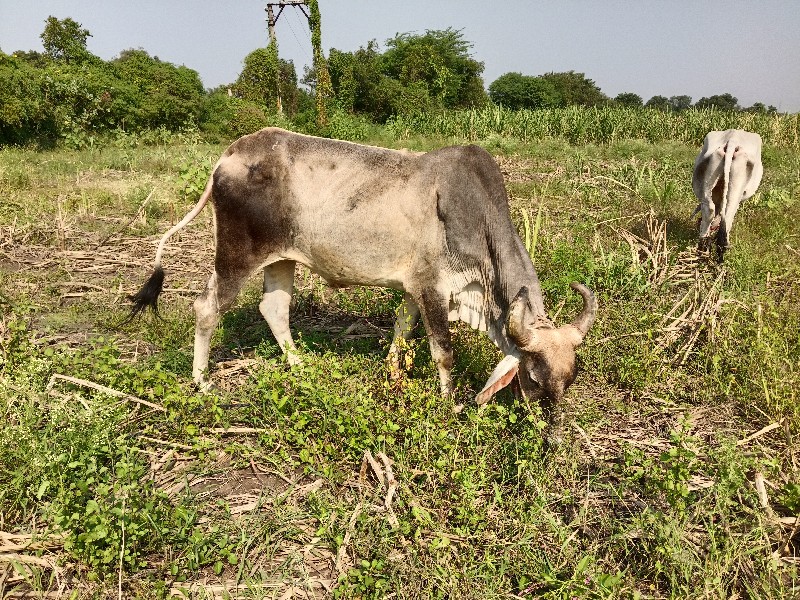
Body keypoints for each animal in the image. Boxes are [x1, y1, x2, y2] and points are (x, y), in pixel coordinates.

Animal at [130, 126, 592, 414]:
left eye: (568, 381)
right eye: (534, 379)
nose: (548, 431)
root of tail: (227, 157)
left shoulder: (413, 289)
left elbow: (401, 330)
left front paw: (392, 374)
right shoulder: (433, 289)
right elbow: (444, 351)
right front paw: (448, 404)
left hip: (281, 259)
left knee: (273, 309)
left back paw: (300, 366)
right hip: (236, 257)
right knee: (207, 307)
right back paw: (202, 381)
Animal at [692, 127, 764, 262]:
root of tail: (732, 140)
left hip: (708, 182)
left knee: (709, 209)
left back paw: (702, 249)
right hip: (736, 189)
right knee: (728, 217)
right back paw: (720, 257)